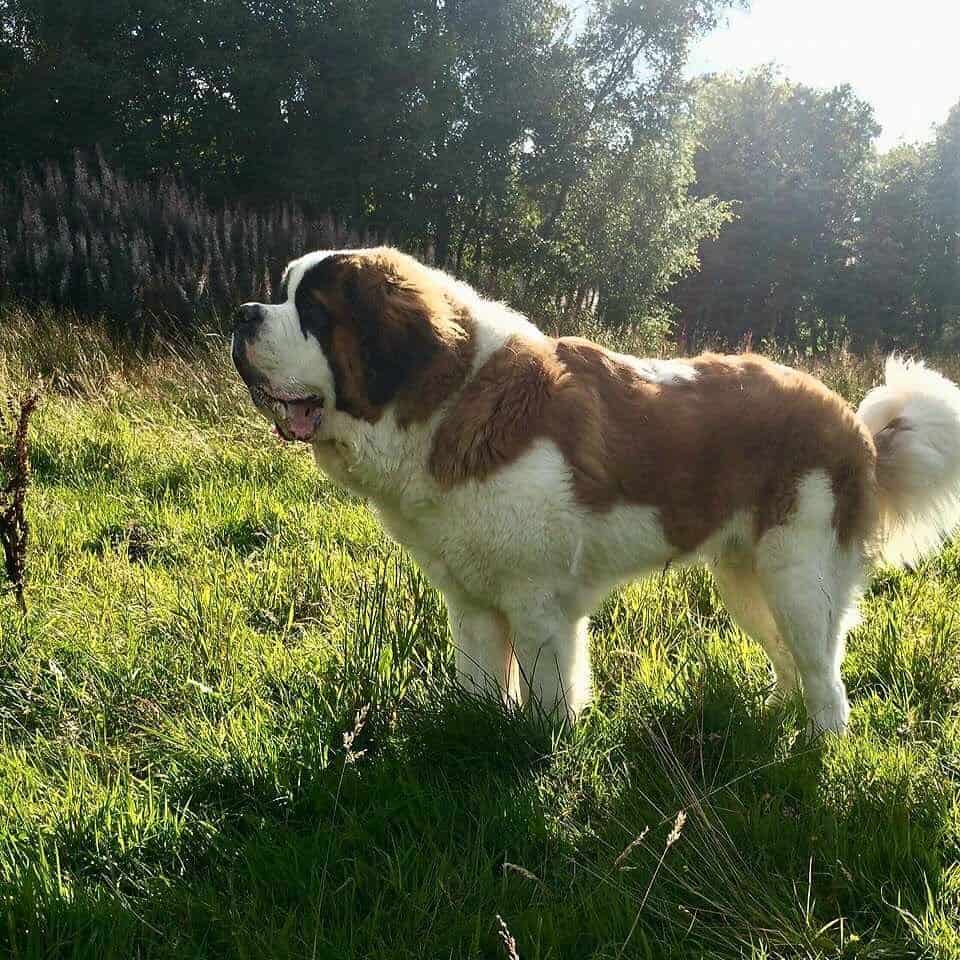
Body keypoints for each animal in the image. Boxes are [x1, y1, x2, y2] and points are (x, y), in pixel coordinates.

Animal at [231, 248, 960, 736]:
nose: (242, 313)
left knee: (824, 672)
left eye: (312, 311)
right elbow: (480, 682)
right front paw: (478, 730)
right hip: (746, 578)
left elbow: (547, 692)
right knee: (791, 660)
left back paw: (818, 748)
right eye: (282, 293)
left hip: (798, 575)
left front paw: (538, 753)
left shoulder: (537, 600)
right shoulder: (471, 600)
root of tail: (853, 424)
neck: (450, 399)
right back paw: (774, 715)